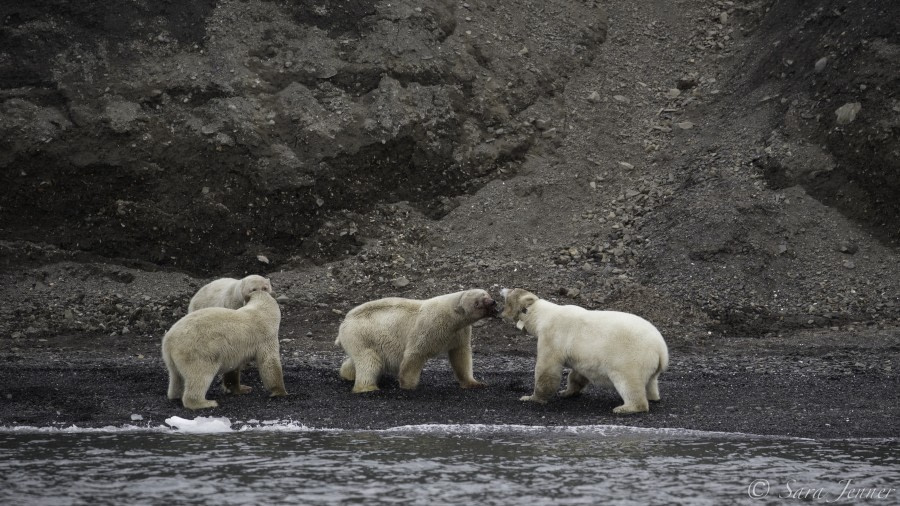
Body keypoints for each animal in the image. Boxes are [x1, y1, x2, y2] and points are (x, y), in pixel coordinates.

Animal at [334, 288, 500, 392]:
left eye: (486, 294)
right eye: (477, 303)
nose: (493, 302)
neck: (452, 316)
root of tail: (344, 322)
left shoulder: (459, 332)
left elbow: (461, 355)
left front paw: (475, 383)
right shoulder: (431, 326)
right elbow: (416, 353)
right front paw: (408, 385)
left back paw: (347, 374)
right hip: (361, 335)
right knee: (369, 361)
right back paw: (368, 387)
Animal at [500, 286, 668, 414]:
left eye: (511, 291)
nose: (502, 289)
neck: (542, 316)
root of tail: (661, 349)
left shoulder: (552, 336)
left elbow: (546, 368)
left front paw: (531, 398)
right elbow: (578, 373)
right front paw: (566, 392)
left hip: (629, 358)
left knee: (628, 382)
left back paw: (625, 407)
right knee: (651, 381)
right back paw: (652, 396)